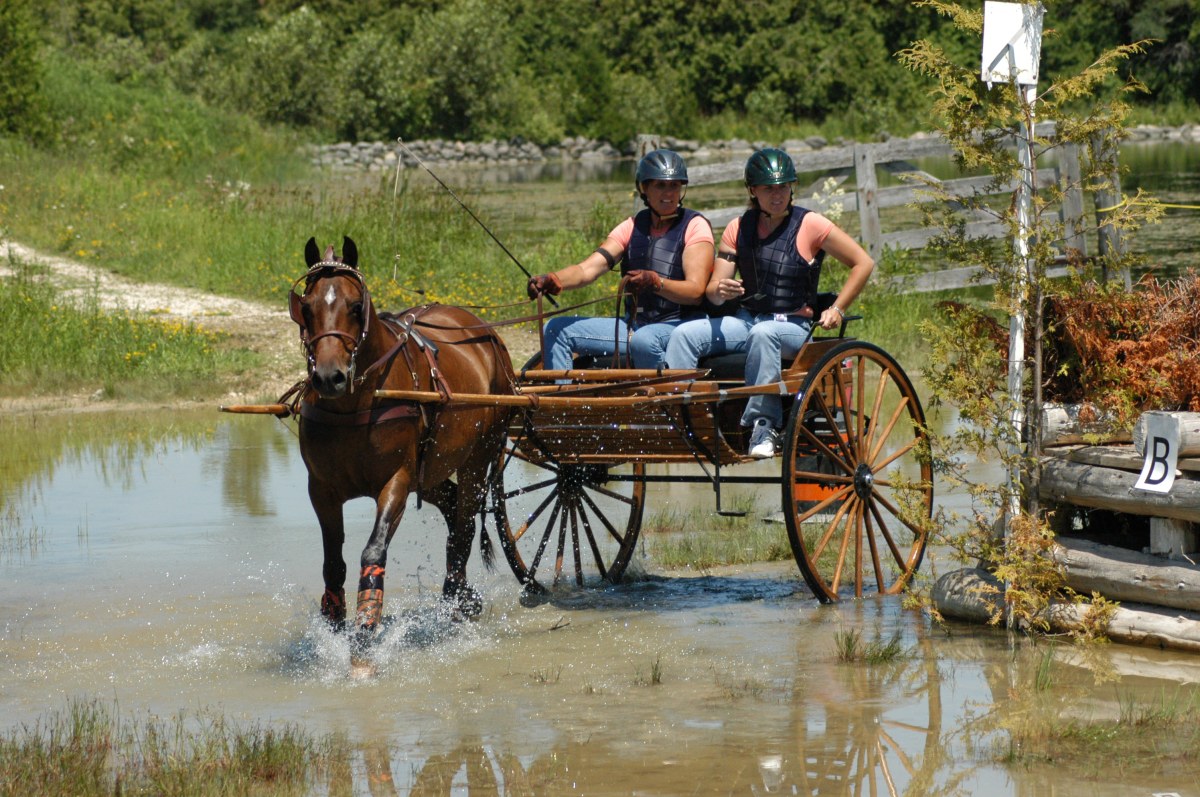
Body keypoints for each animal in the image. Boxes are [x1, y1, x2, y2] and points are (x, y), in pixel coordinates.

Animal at [288, 236, 513, 658]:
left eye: (355, 306)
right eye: (305, 308)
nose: (328, 377)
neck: (357, 404)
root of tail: (485, 334)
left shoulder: (395, 482)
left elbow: (373, 551)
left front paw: (365, 626)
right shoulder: (322, 489)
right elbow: (333, 563)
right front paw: (334, 623)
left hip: (477, 457)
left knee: (464, 522)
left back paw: (457, 602)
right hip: (431, 471)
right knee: (455, 508)